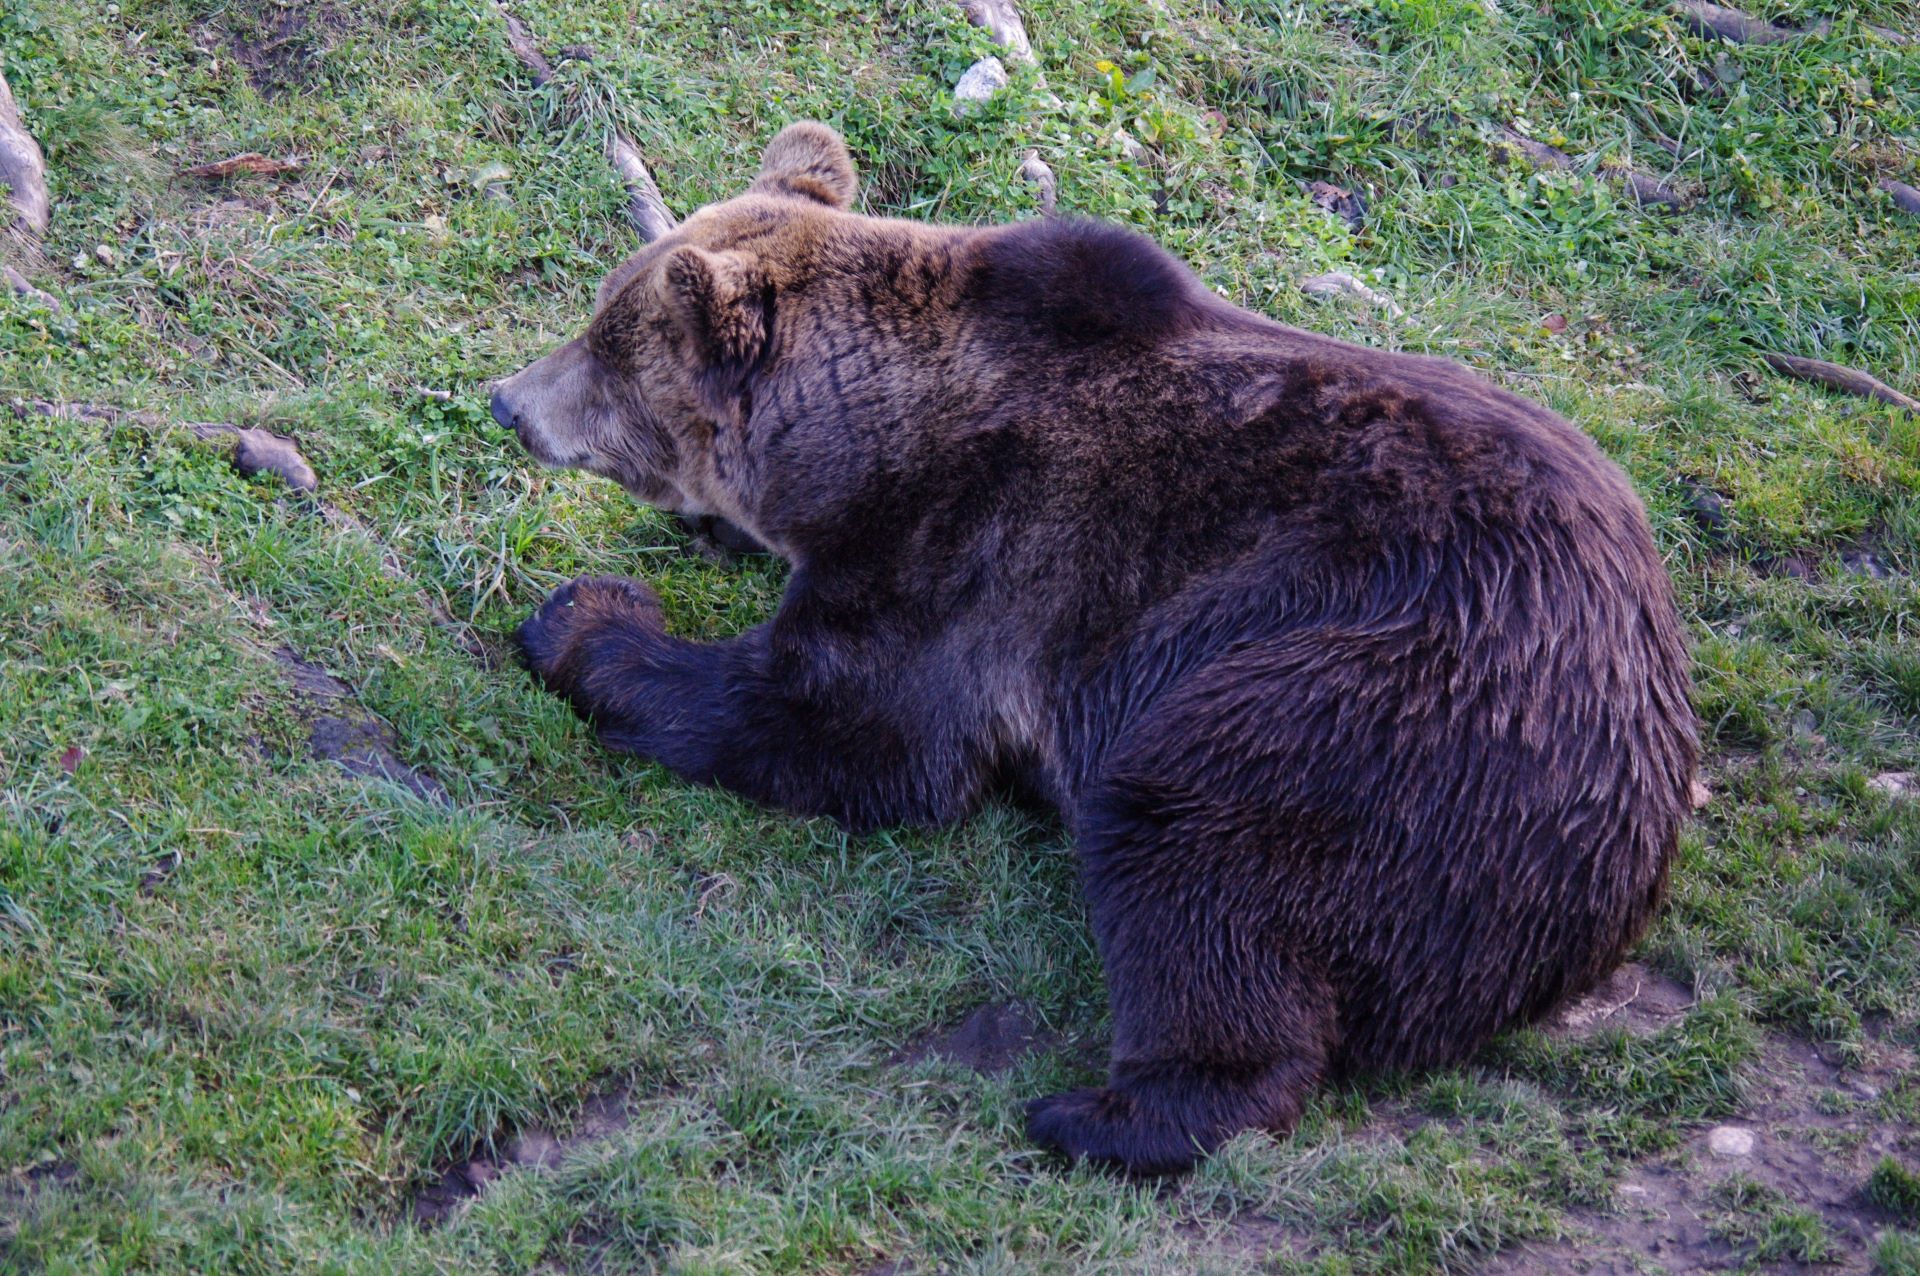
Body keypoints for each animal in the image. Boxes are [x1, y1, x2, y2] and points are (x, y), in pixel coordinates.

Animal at [495, 121, 1697, 1174]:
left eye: (603, 341)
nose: (509, 400)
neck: (869, 438)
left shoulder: (973, 546)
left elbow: (847, 724)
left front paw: (584, 616)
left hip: (1383, 700)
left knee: (1198, 846)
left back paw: (1102, 1112)